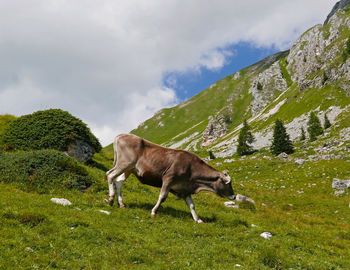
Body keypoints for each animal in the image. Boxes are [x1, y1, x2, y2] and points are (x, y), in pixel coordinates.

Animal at [104, 133, 235, 224]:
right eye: (228, 183)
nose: (234, 196)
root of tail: (121, 135)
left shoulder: (185, 189)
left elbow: (192, 205)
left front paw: (198, 220)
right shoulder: (168, 178)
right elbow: (162, 197)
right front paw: (153, 212)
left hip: (129, 169)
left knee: (118, 181)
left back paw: (121, 204)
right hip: (125, 163)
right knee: (110, 174)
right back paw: (110, 199)